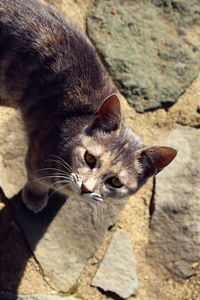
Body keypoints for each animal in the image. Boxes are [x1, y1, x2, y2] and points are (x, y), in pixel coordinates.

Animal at [0, 0, 177, 212]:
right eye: (90, 158)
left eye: (115, 182)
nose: (85, 188)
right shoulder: (37, 158)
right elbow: (37, 181)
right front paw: (35, 197)